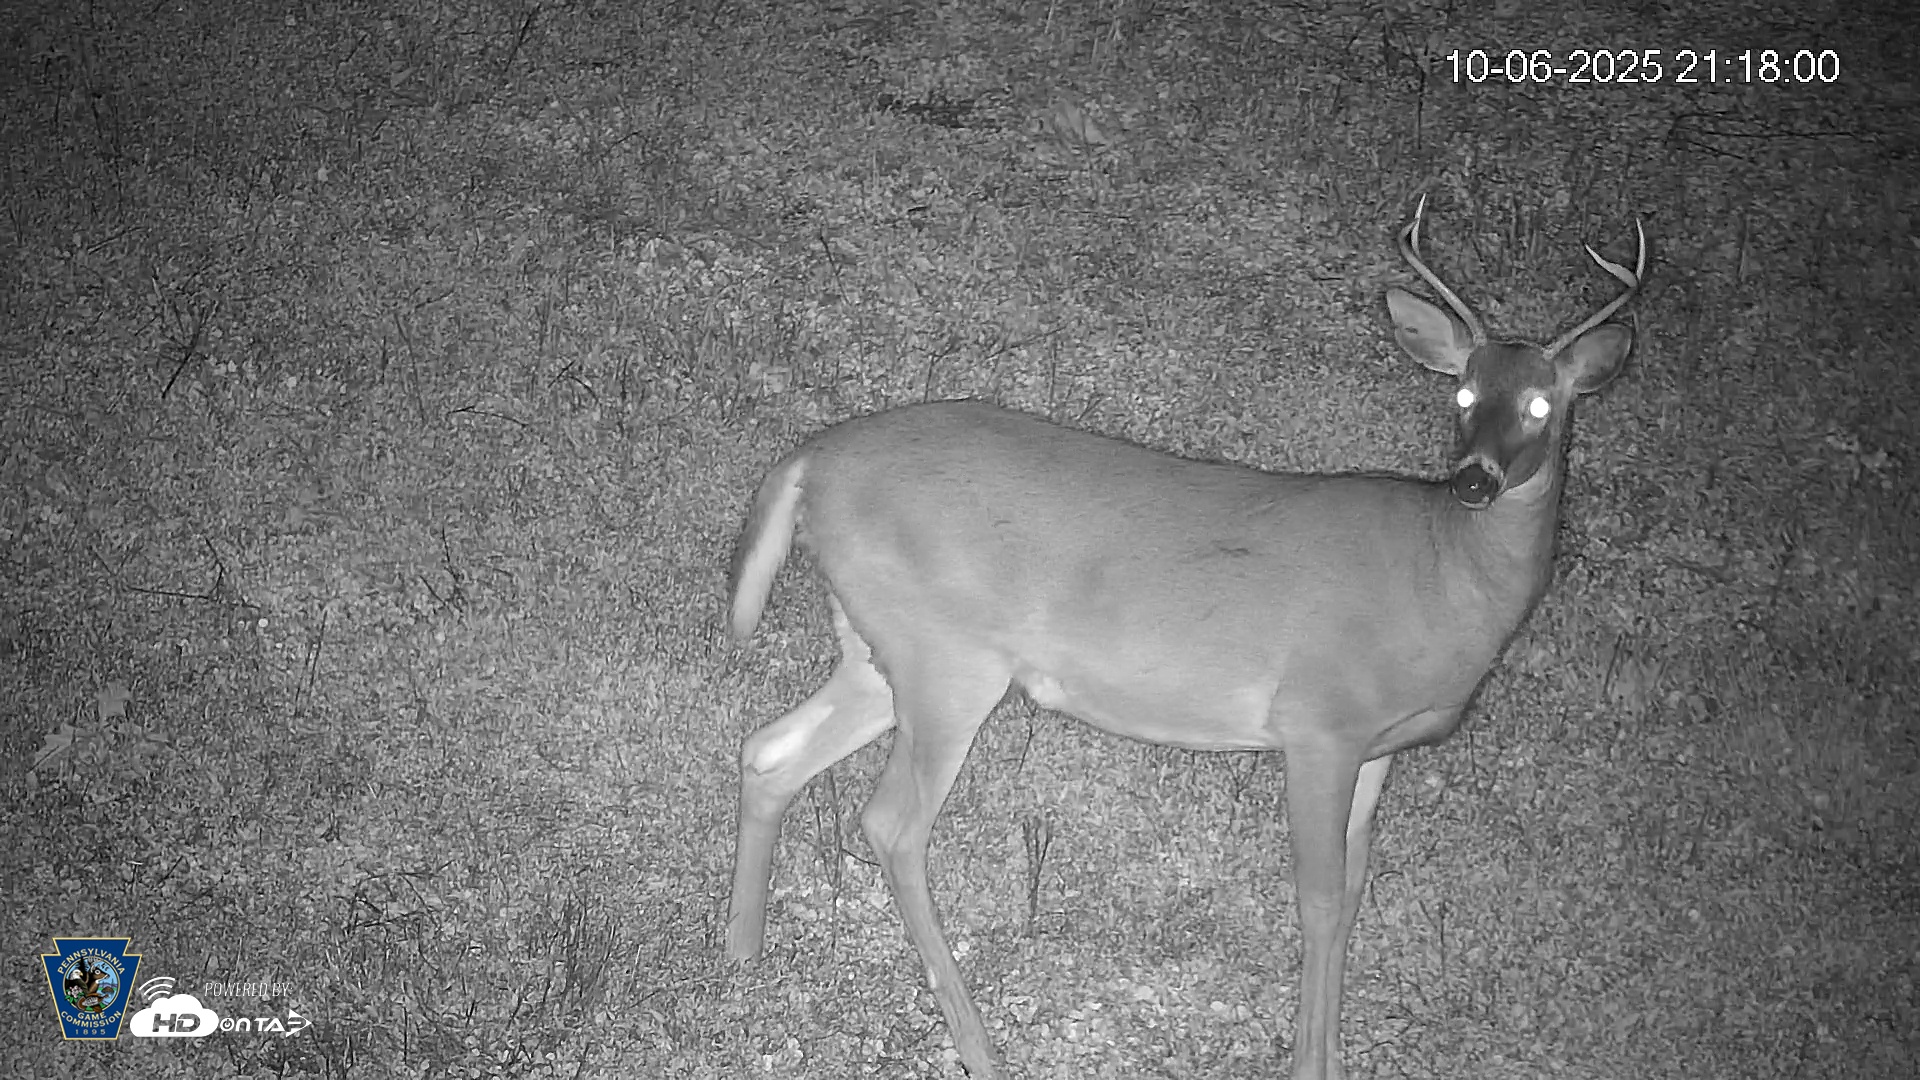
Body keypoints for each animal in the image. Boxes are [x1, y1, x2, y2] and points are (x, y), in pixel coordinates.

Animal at [722, 196, 1645, 1080]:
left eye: (1542, 401)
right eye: (1461, 394)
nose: (1474, 481)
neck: (1444, 578)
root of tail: (811, 459)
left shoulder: (1380, 747)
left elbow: (1350, 897)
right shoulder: (1321, 723)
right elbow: (1317, 899)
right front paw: (1310, 1066)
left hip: (881, 646)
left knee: (769, 751)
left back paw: (742, 949)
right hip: (946, 656)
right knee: (889, 823)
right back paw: (978, 1047)